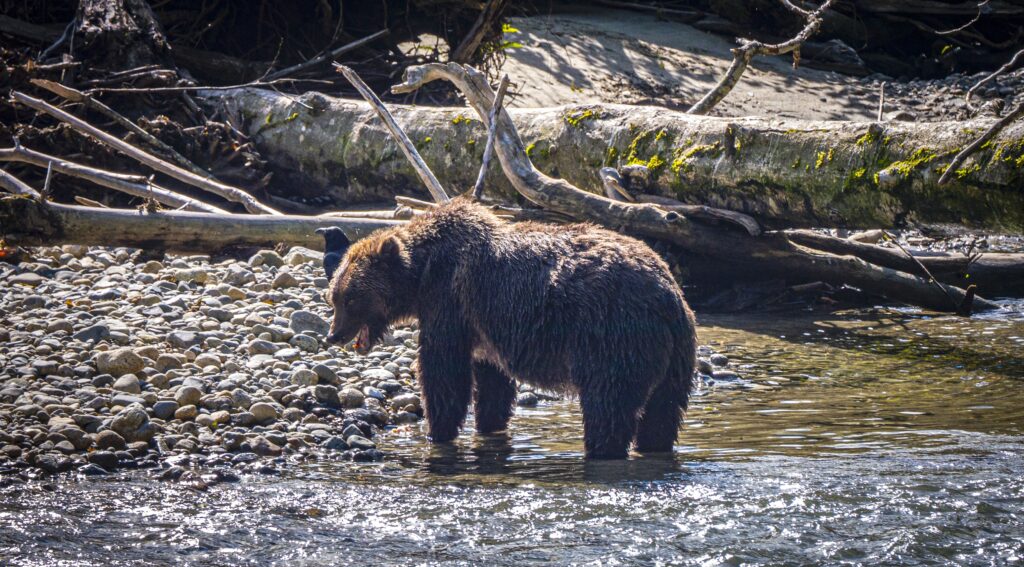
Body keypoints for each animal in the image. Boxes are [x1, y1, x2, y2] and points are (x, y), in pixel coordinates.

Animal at [323, 196, 700, 456]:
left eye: (350, 299)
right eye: (334, 297)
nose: (334, 335)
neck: (422, 274)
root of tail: (668, 294)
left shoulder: (450, 302)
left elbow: (444, 371)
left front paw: (437, 431)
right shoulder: (484, 327)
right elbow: (492, 383)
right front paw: (488, 426)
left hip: (612, 335)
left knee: (608, 404)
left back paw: (602, 449)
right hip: (677, 355)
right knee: (663, 412)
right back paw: (653, 446)